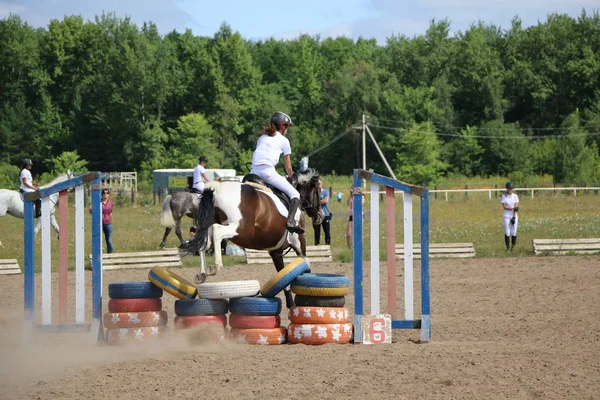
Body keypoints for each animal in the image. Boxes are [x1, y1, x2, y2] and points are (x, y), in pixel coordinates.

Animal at [179, 168, 324, 306]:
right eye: (318, 191)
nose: (320, 216)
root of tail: (217, 189)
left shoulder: (275, 252)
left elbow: (283, 278)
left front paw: (291, 304)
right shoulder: (299, 244)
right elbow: (307, 267)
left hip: (210, 226)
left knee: (203, 241)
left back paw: (202, 273)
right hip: (240, 229)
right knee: (217, 231)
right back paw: (216, 266)